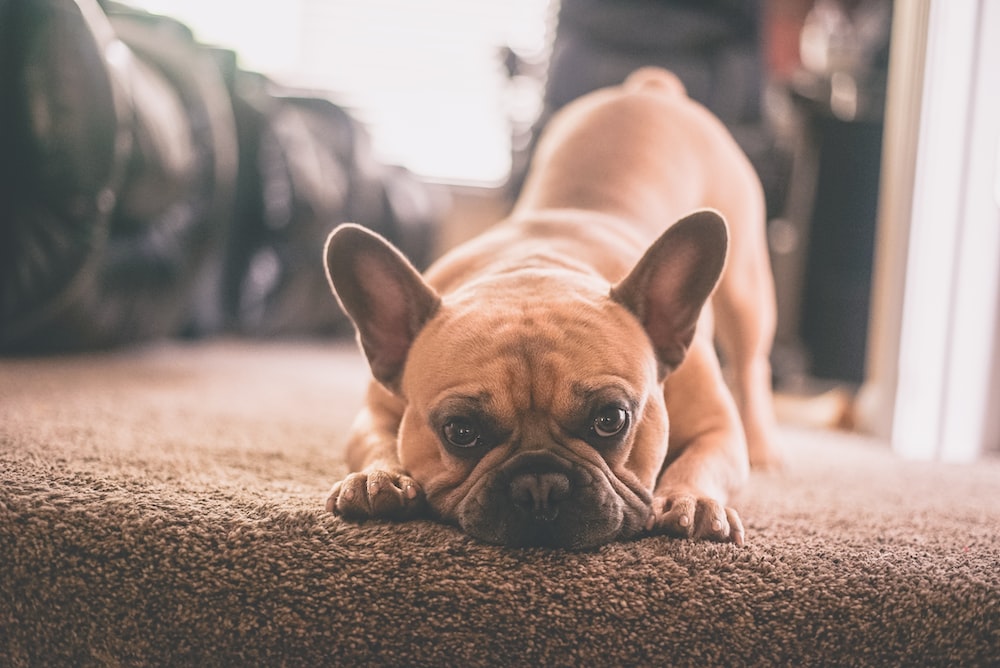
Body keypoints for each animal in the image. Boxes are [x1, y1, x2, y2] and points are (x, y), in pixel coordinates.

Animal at [324, 68, 776, 548]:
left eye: (611, 419)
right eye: (460, 432)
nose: (539, 485)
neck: (538, 264)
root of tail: (651, 89)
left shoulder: (717, 427)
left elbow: (702, 460)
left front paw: (692, 500)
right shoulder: (376, 411)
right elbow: (376, 442)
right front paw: (377, 478)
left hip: (746, 292)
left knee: (752, 366)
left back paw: (765, 449)